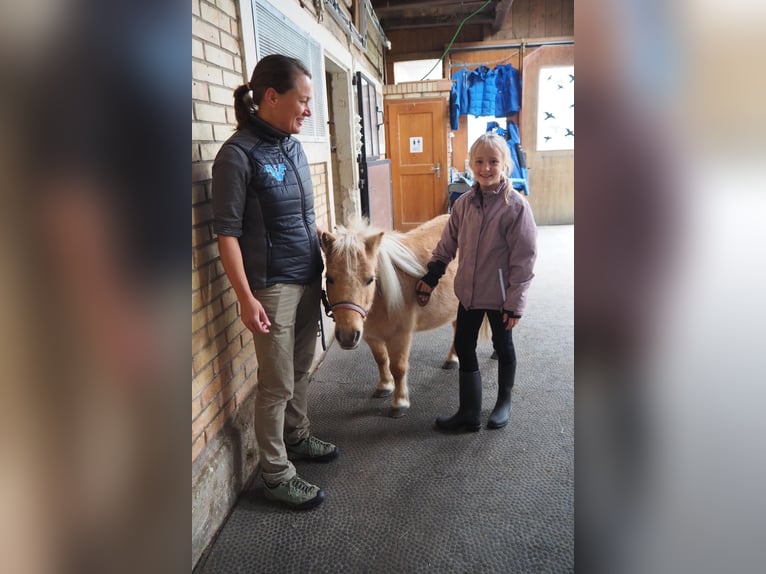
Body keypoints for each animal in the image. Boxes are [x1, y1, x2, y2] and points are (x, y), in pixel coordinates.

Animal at [320, 215, 460, 418]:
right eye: (329, 278)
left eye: (370, 279)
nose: (347, 336)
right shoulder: (372, 337)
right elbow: (381, 360)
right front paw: (385, 386)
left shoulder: (400, 336)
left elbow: (398, 368)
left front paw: (399, 402)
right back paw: (452, 359)